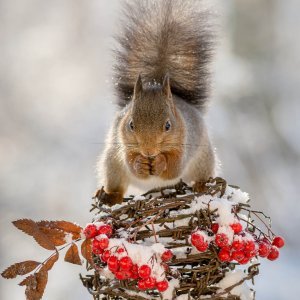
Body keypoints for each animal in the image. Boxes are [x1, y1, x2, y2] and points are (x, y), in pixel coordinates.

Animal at [97, 0, 217, 206]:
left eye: (168, 125)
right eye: (131, 124)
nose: (148, 152)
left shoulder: (185, 144)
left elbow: (174, 168)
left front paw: (161, 162)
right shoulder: (123, 143)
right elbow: (130, 163)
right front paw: (140, 164)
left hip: (204, 160)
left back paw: (201, 185)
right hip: (111, 165)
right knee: (117, 184)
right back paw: (110, 196)